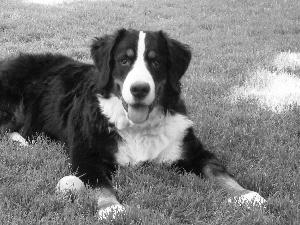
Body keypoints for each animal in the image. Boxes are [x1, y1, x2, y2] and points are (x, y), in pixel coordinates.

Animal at [1, 28, 266, 220]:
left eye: (156, 62)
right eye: (124, 60)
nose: (139, 89)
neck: (137, 127)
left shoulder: (192, 149)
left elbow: (218, 171)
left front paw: (247, 195)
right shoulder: (86, 156)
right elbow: (100, 184)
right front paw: (111, 208)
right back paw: (20, 141)